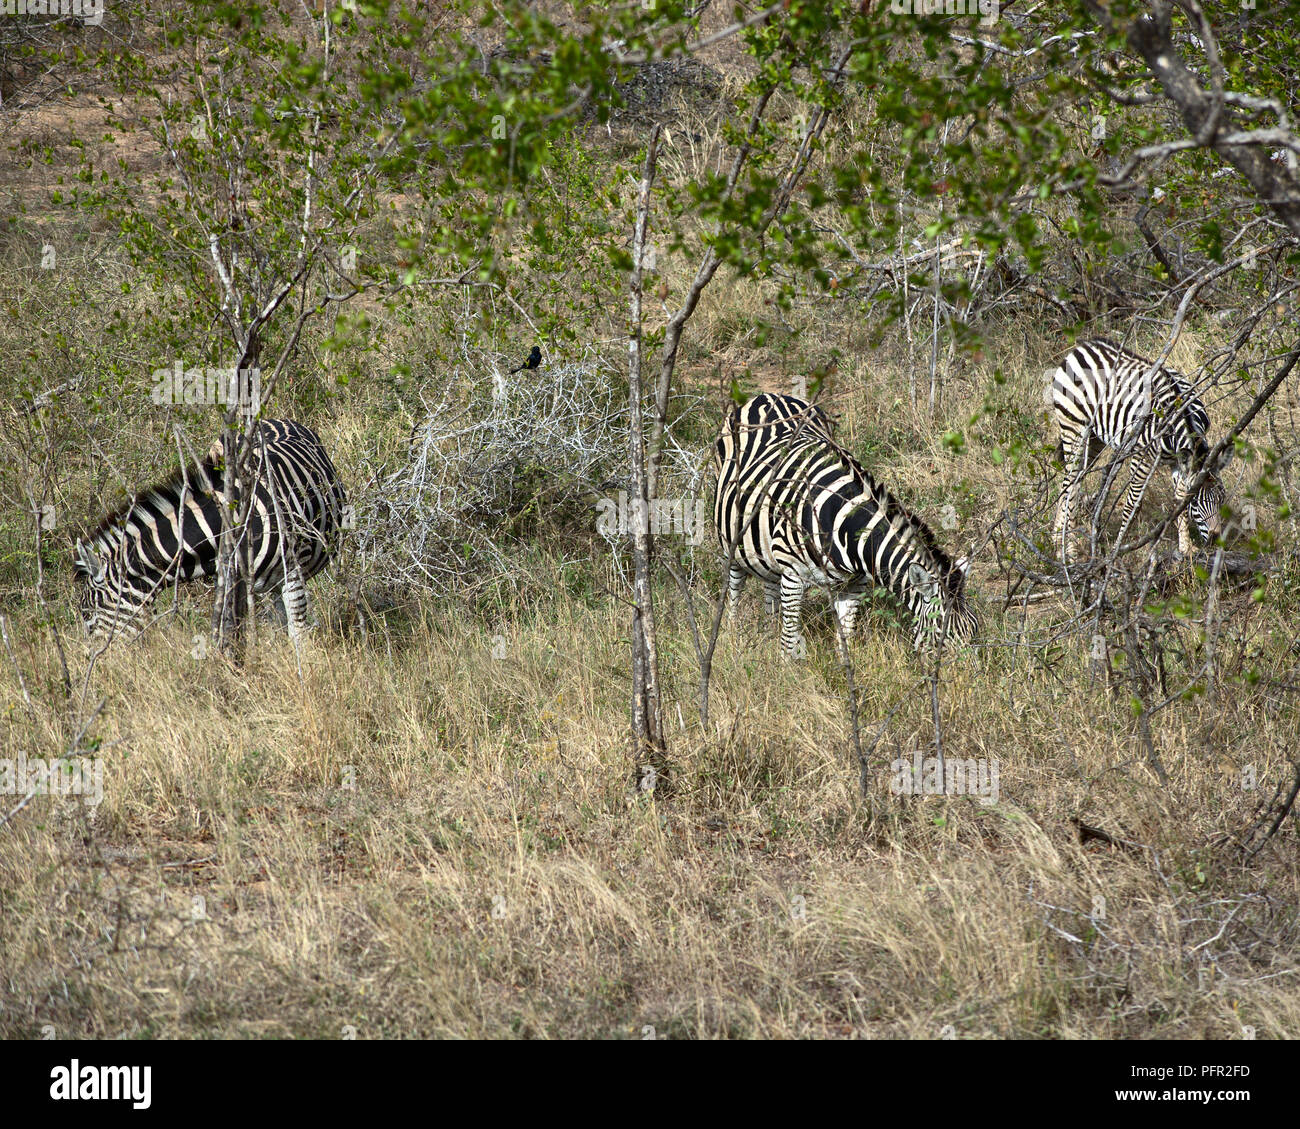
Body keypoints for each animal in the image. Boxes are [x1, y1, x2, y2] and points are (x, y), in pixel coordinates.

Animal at [712, 395, 977, 658]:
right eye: (940, 635)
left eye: (973, 629)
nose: (968, 671)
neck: (845, 530)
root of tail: (769, 396)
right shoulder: (793, 577)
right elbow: (788, 642)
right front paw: (785, 668)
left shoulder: (852, 586)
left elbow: (845, 639)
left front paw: (843, 669)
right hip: (730, 540)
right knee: (734, 589)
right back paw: (733, 638)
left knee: (769, 585)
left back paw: (768, 629)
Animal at [1045, 338, 1227, 561]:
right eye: (1194, 503)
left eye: (1221, 499)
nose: (1215, 539)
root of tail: (1084, 346)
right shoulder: (1142, 456)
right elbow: (1133, 504)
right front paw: (1117, 550)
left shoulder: (1178, 461)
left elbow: (1177, 498)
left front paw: (1186, 548)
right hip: (1074, 426)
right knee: (1070, 483)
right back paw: (1069, 551)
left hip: (1095, 438)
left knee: (1072, 479)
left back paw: (1057, 541)